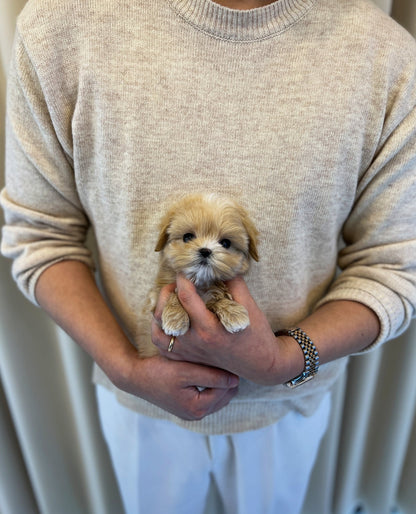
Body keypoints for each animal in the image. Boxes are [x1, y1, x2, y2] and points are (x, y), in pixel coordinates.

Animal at [145, 194, 258, 350]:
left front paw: (233, 313)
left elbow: (218, 299)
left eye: (226, 243)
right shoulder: (156, 297)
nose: (205, 251)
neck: (199, 281)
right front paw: (175, 319)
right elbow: (173, 294)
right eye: (187, 237)